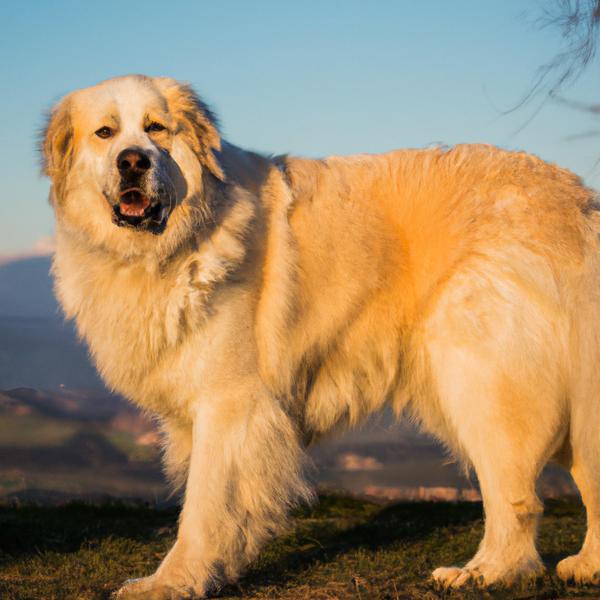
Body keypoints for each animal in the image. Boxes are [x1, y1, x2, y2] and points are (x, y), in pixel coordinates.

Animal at [39, 76, 600, 596]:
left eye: (157, 128)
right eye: (105, 133)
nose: (133, 161)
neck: (169, 248)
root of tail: (574, 202)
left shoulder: (230, 406)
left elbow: (203, 508)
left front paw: (174, 581)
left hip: (480, 381)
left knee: (516, 496)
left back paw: (488, 571)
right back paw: (585, 565)